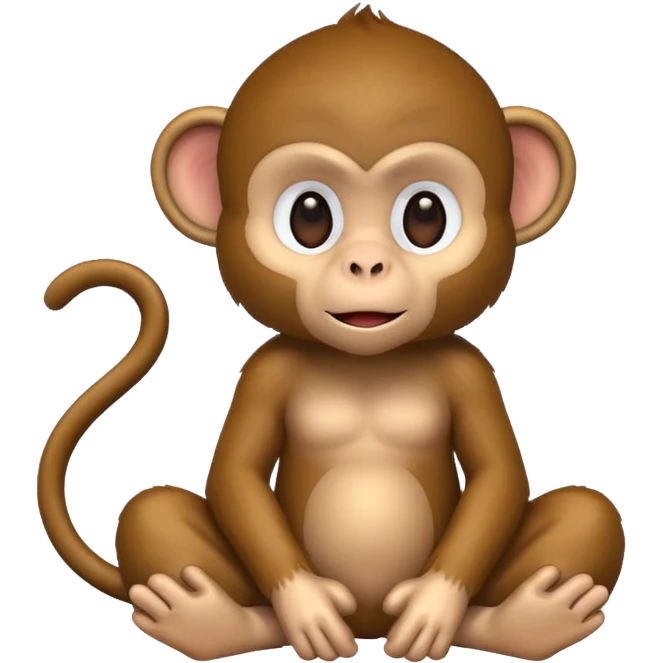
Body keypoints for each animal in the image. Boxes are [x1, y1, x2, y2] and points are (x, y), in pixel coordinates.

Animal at [37, 4, 625, 663]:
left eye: (426, 216)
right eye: (310, 216)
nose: (366, 264)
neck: (365, 360)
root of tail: (370, 629)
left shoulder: (470, 368)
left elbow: (498, 473)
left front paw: (433, 608)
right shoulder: (264, 370)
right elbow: (237, 473)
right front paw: (307, 607)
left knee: (589, 511)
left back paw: (531, 616)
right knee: (152, 511)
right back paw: (208, 617)